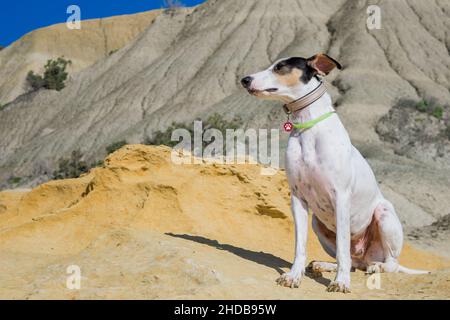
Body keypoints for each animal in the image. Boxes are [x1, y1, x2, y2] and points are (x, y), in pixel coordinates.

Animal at [241, 54, 428, 292]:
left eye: (280, 67)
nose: (244, 80)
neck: (308, 128)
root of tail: (365, 256)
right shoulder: (298, 198)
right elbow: (300, 246)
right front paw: (293, 276)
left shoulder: (341, 197)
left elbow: (341, 250)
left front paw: (340, 283)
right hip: (317, 223)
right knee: (354, 263)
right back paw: (322, 264)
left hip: (384, 215)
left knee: (388, 263)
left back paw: (376, 267)